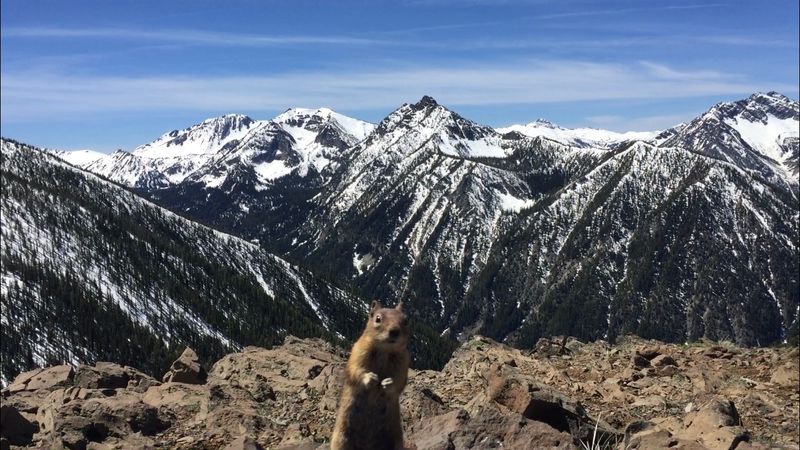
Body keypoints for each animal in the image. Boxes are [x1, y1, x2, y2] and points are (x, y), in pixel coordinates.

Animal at [331, 300, 410, 450]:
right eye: (378, 319)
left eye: (406, 320)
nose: (394, 331)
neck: (384, 350)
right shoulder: (359, 350)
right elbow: (355, 369)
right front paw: (371, 378)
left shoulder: (403, 361)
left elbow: (400, 380)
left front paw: (388, 383)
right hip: (341, 437)